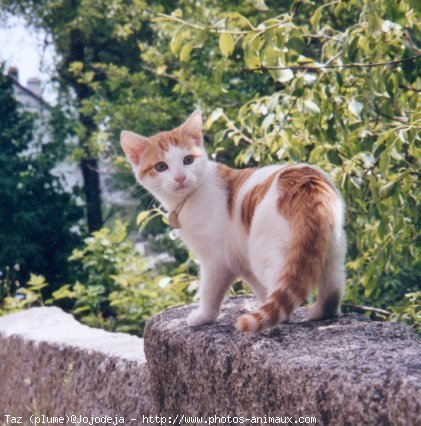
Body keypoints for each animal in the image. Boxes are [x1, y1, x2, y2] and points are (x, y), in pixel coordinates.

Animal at [120, 110, 344, 332]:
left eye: (188, 160)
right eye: (161, 167)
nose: (180, 177)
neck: (190, 197)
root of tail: (306, 183)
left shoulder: (216, 260)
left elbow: (209, 291)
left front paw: (204, 317)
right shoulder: (242, 261)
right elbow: (259, 288)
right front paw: (263, 305)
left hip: (266, 251)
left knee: (283, 285)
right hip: (329, 248)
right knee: (332, 287)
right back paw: (321, 312)